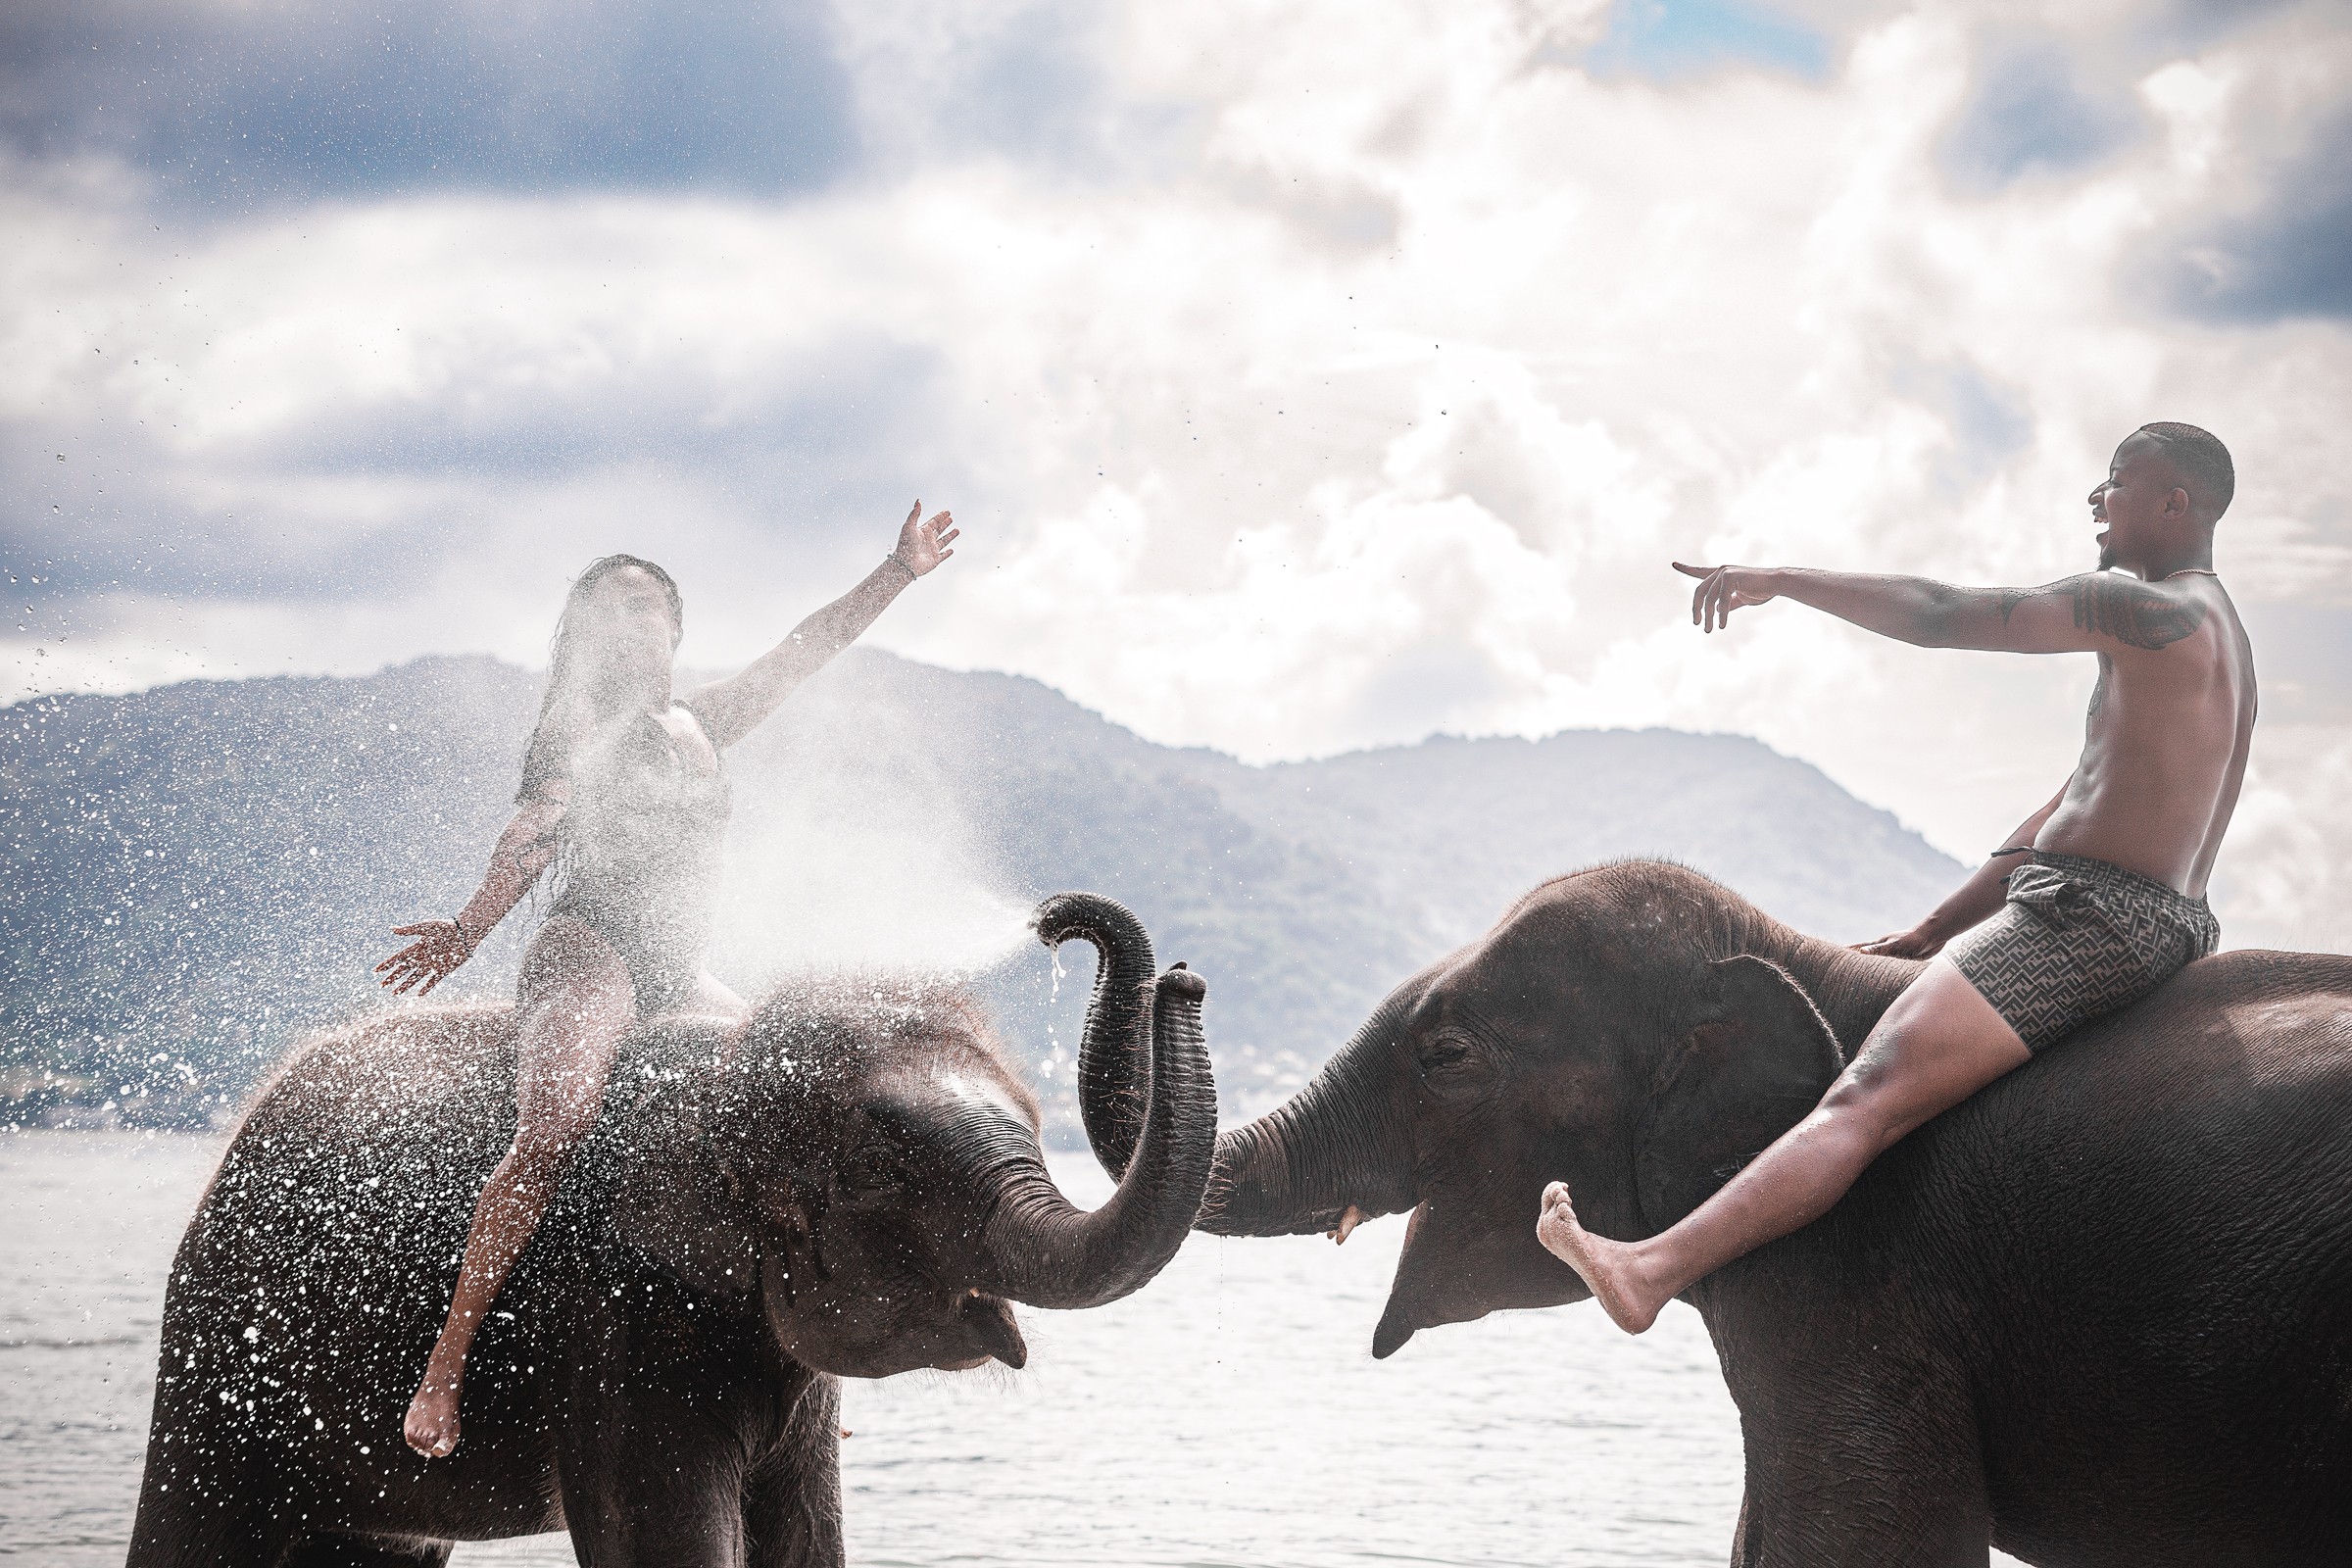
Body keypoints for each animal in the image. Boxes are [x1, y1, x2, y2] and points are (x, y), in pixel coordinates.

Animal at [127, 891, 1213, 1567]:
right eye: (881, 1173)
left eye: (1034, 1120)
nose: (1185, 978)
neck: (725, 1072)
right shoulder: (611, 1316)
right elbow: (666, 1538)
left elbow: (807, 1536)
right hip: (218, 1364)